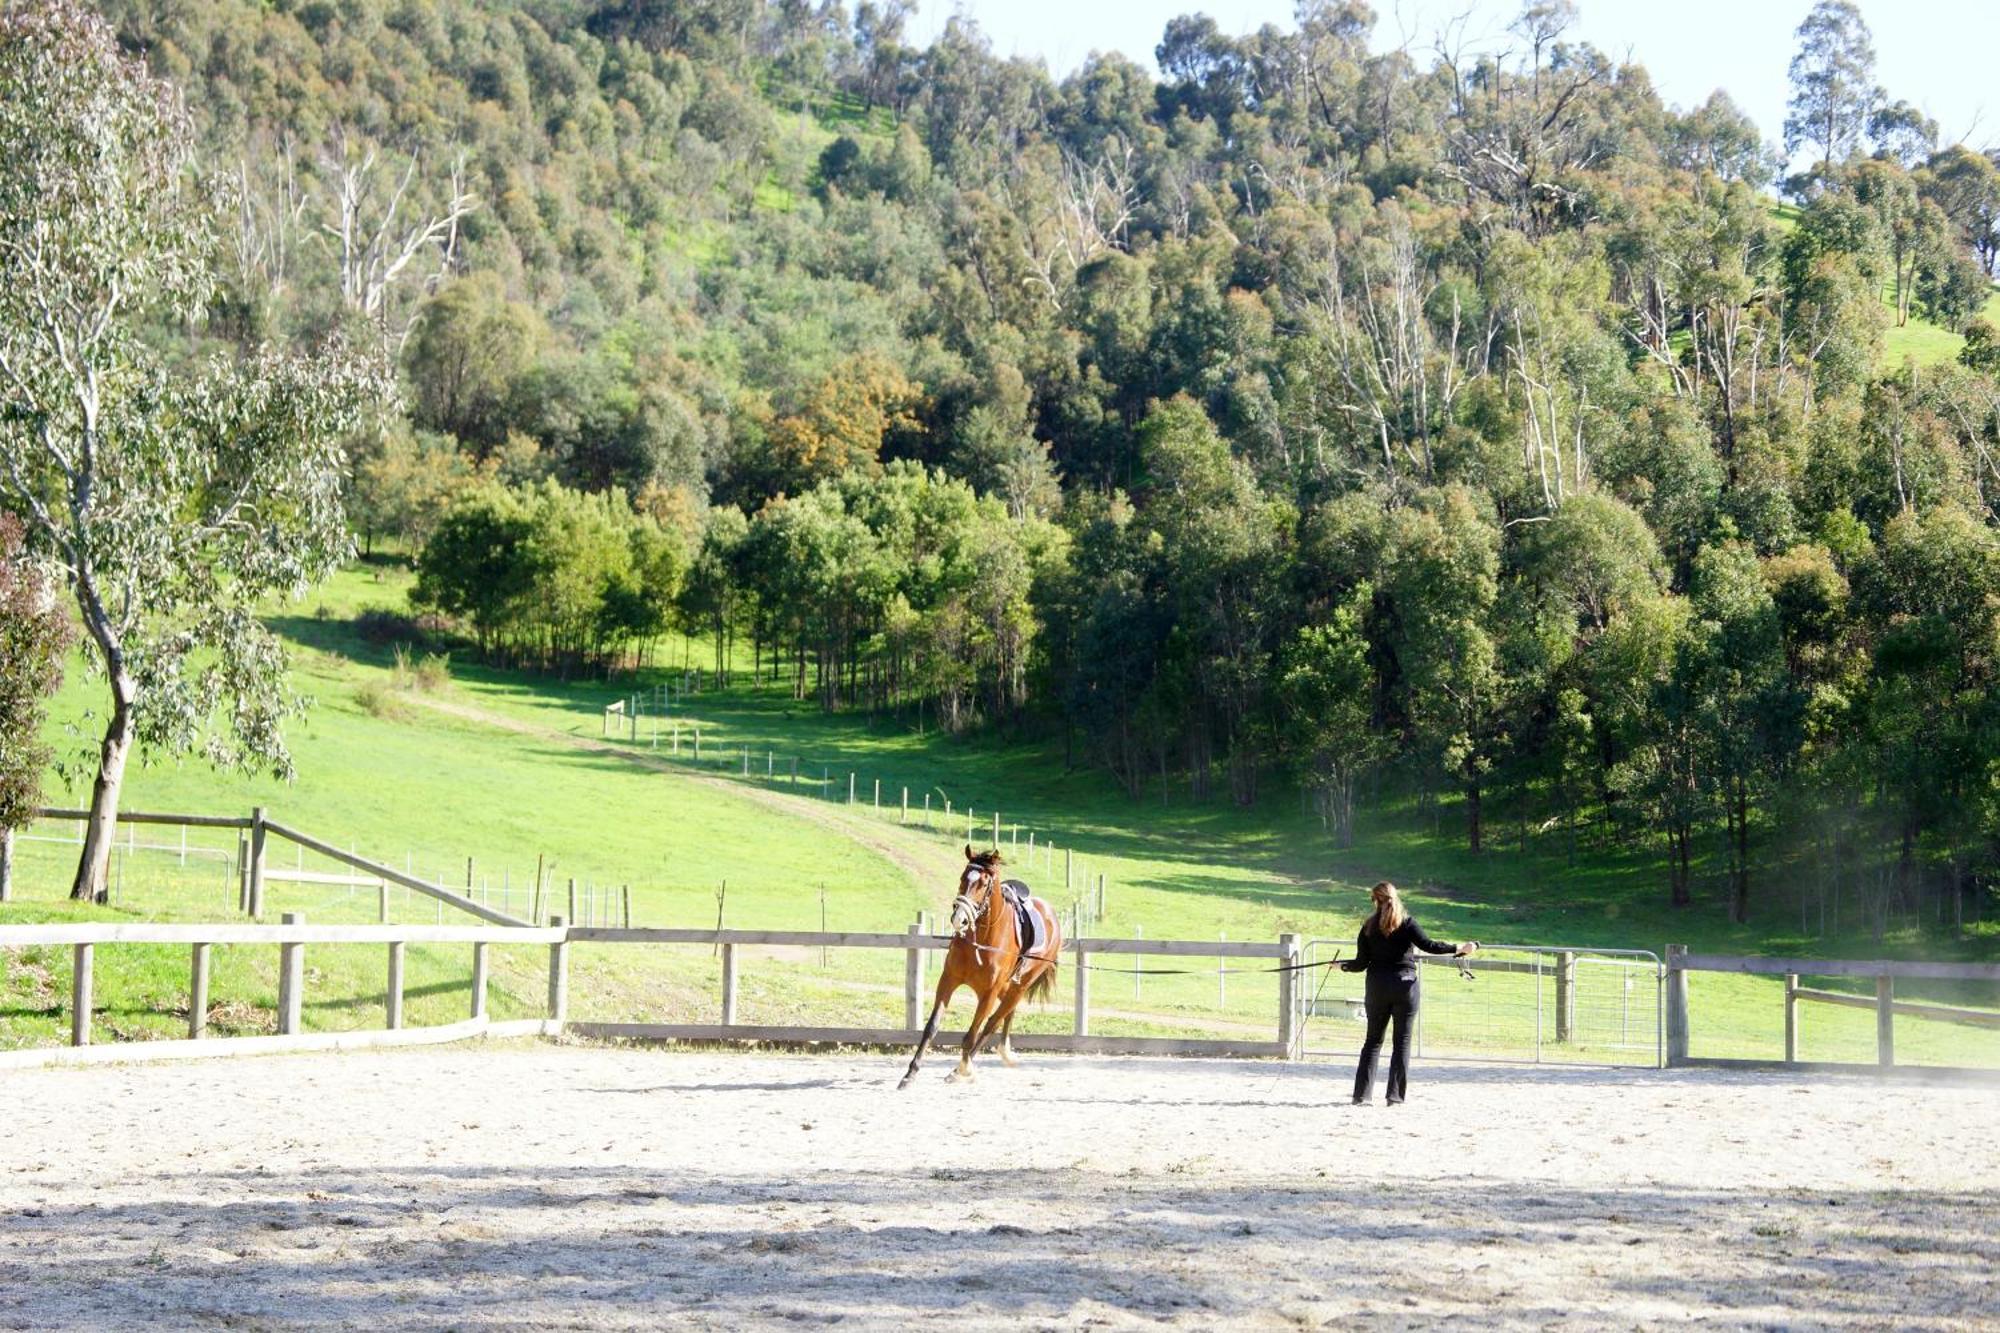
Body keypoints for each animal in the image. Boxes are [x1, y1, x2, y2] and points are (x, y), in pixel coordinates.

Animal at [900, 844, 1064, 1088]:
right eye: (963, 878)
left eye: (984, 884)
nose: (959, 919)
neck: (983, 938)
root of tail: (1051, 914)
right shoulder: (948, 980)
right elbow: (932, 1026)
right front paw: (910, 1073)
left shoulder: (988, 993)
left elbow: (971, 1035)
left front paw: (963, 1070)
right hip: (1006, 987)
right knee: (1005, 1015)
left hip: (1019, 986)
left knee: (992, 1023)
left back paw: (961, 1068)